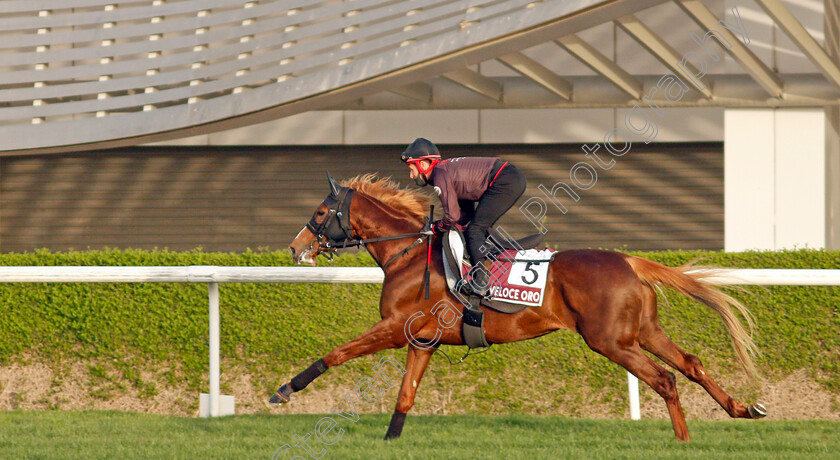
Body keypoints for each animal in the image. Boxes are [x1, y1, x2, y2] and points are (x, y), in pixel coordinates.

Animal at [276, 173, 768, 442]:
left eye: (320, 213)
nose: (296, 249)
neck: (407, 252)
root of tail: (628, 260)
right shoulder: (422, 341)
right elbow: (406, 395)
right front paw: (390, 438)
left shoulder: (398, 328)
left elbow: (337, 353)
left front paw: (285, 390)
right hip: (641, 331)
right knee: (690, 363)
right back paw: (742, 409)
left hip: (610, 340)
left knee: (665, 379)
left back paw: (683, 440)